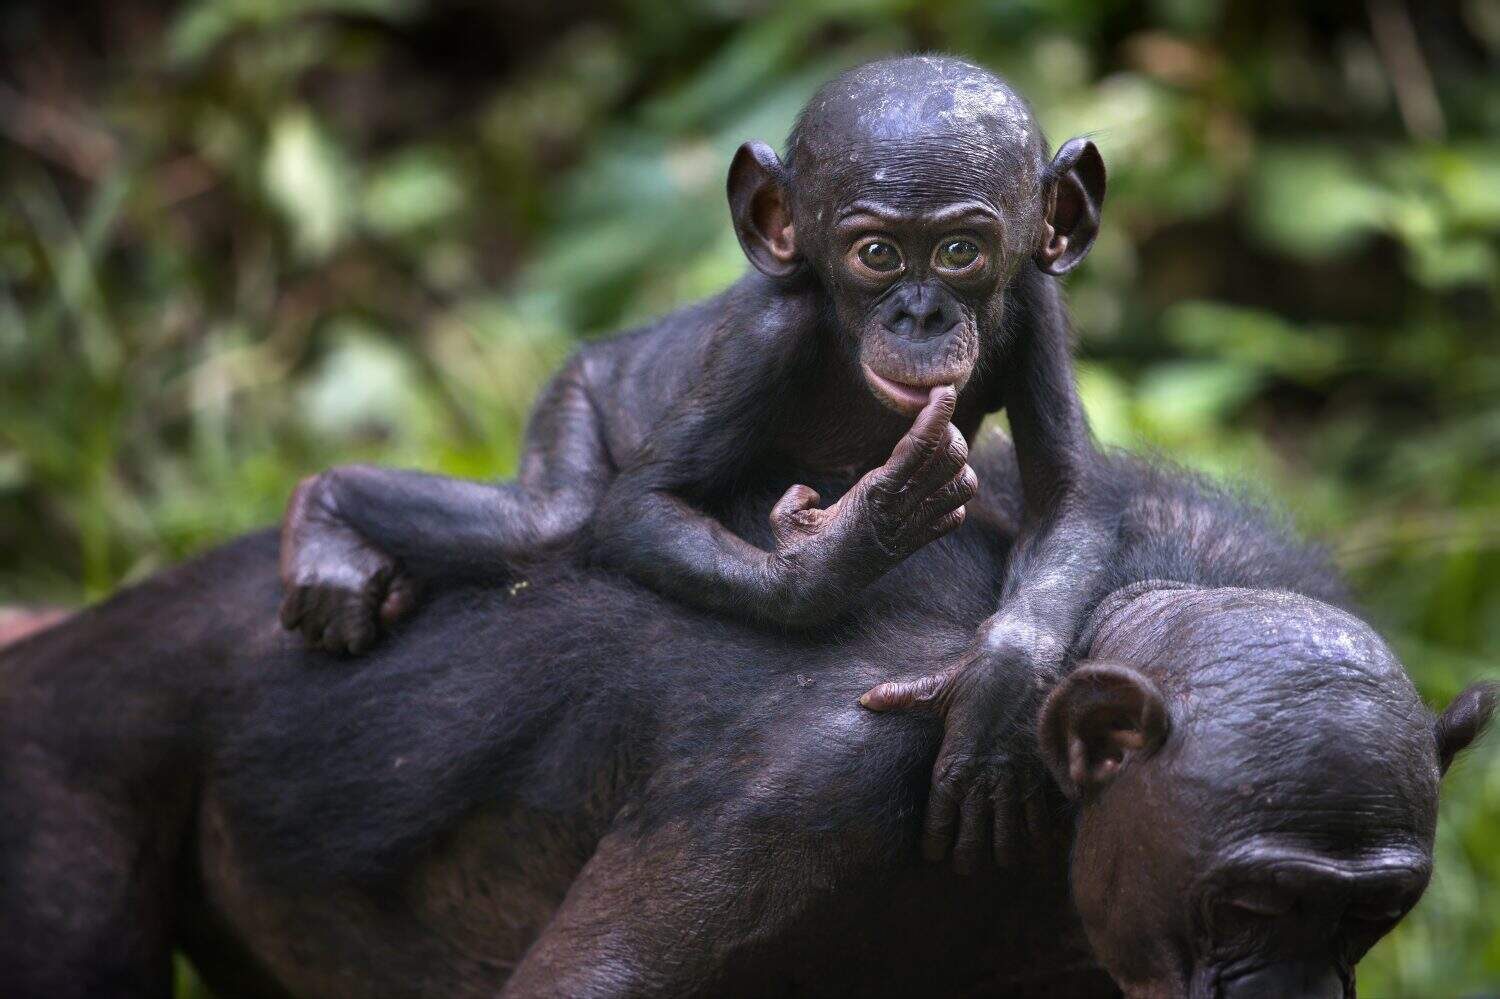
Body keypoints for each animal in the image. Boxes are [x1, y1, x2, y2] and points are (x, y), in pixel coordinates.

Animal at [277, 55, 1109, 867]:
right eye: (876, 253)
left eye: (959, 251)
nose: (921, 313)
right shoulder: (764, 340)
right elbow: (641, 506)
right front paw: (856, 537)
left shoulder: (1037, 306)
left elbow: (1067, 492)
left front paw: (997, 692)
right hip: (574, 390)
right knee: (550, 521)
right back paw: (326, 512)